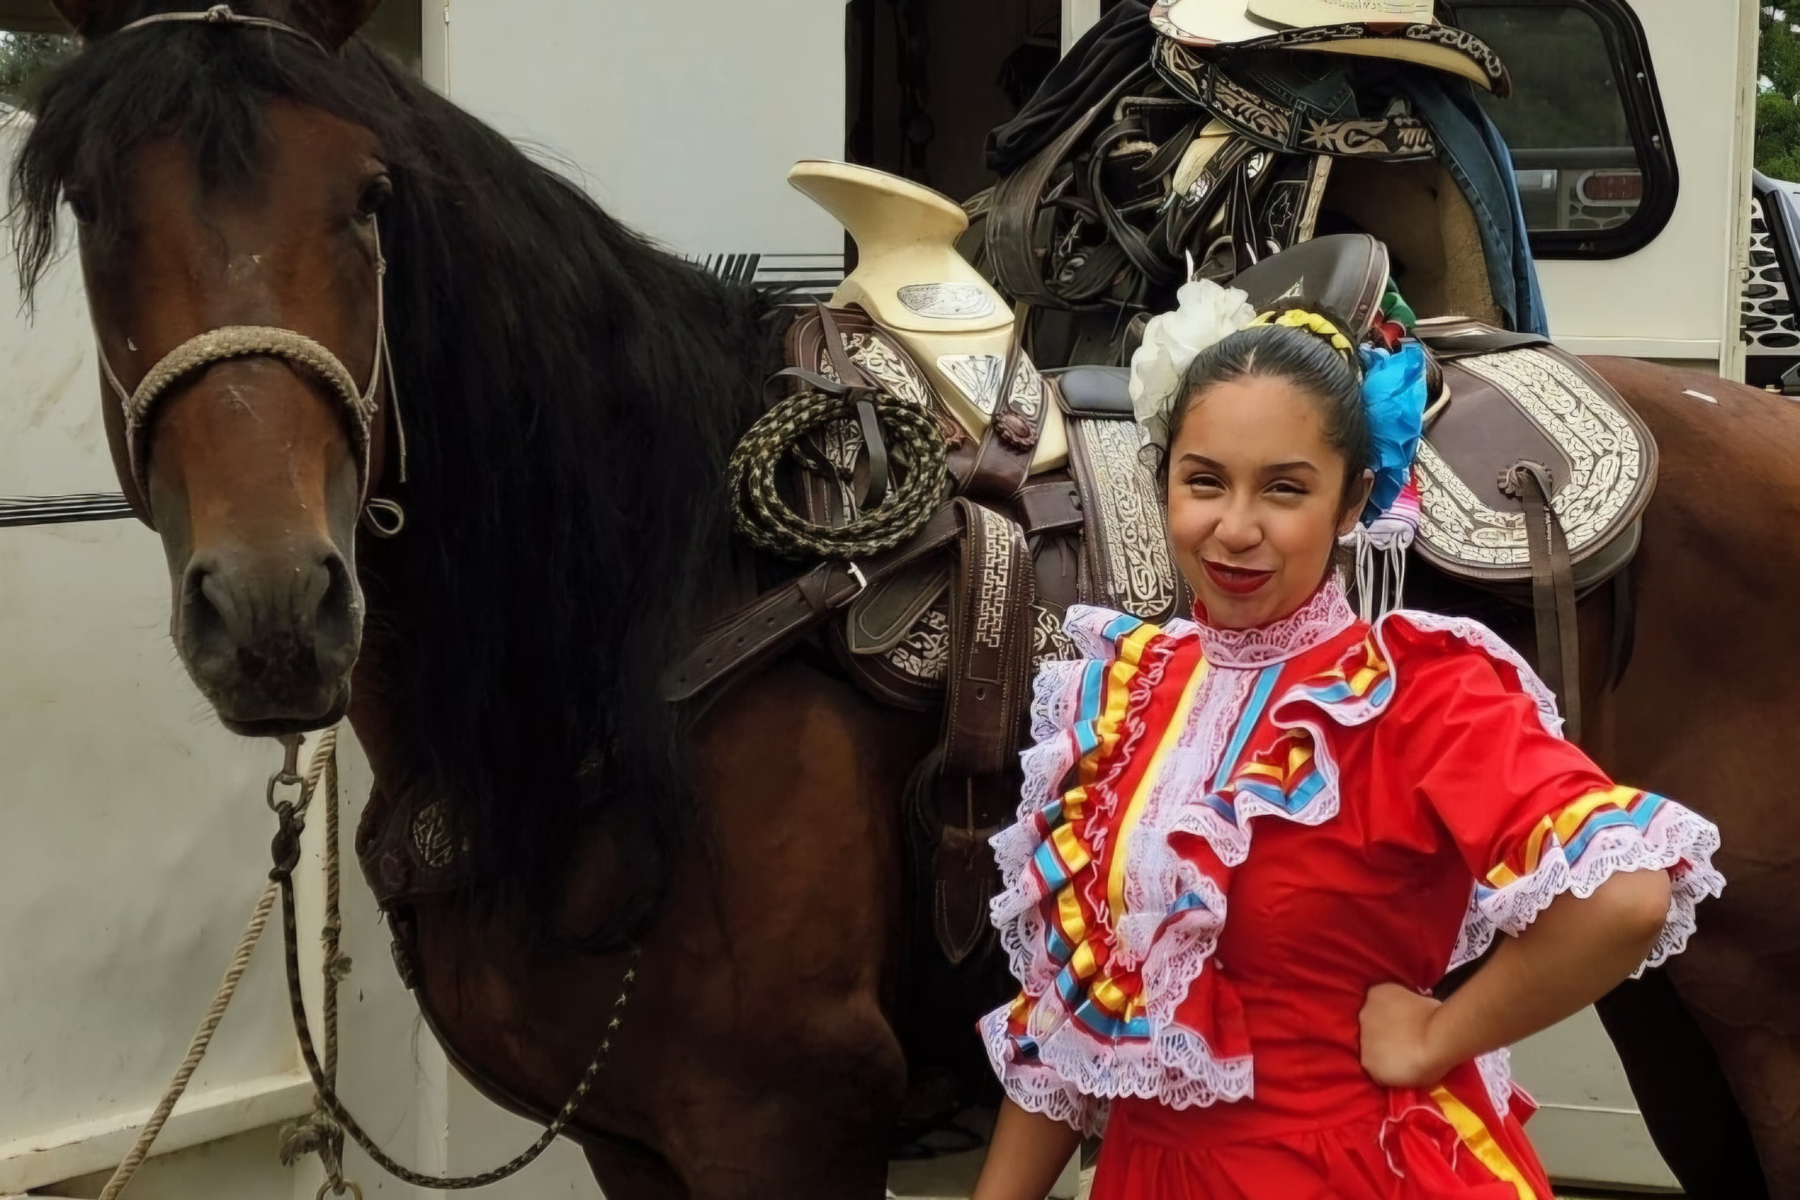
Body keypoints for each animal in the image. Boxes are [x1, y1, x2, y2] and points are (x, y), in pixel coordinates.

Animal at [14, 2, 1800, 1200]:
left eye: (368, 201)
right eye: (98, 213)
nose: (275, 608)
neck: (644, 616)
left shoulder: (782, 1121)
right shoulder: (638, 1139)